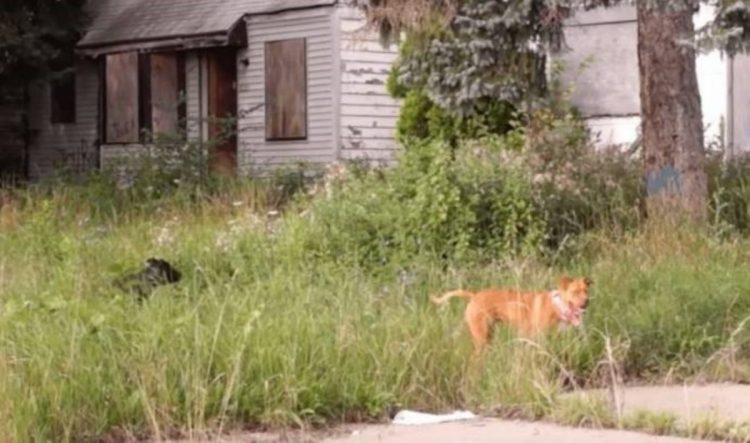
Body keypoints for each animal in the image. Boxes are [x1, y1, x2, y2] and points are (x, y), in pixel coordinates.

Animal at [434, 278, 592, 354]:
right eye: (575, 292)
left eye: (586, 291)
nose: (586, 302)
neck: (558, 306)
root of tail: (474, 296)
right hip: (481, 339)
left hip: (489, 335)